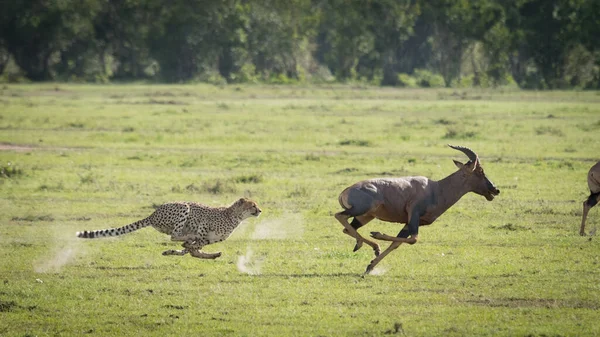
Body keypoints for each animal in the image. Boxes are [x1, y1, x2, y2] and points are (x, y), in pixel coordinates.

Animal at [76, 196, 262, 258]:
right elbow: (192, 244)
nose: (260, 210)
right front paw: (190, 247)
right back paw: (187, 238)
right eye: (253, 205)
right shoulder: (203, 224)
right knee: (174, 235)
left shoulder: (210, 240)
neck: (235, 216)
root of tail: (153, 214)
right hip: (184, 207)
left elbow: (193, 249)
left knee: (179, 239)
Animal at [336, 144, 500, 272]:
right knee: (340, 216)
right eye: (480, 171)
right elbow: (414, 239)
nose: (495, 190)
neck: (436, 188)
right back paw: (372, 244)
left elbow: (397, 243)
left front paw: (370, 266)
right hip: (361, 210)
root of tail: (345, 191)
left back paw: (367, 246)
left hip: (365, 216)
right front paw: (377, 234)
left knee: (348, 229)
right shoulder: (413, 214)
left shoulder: (410, 223)